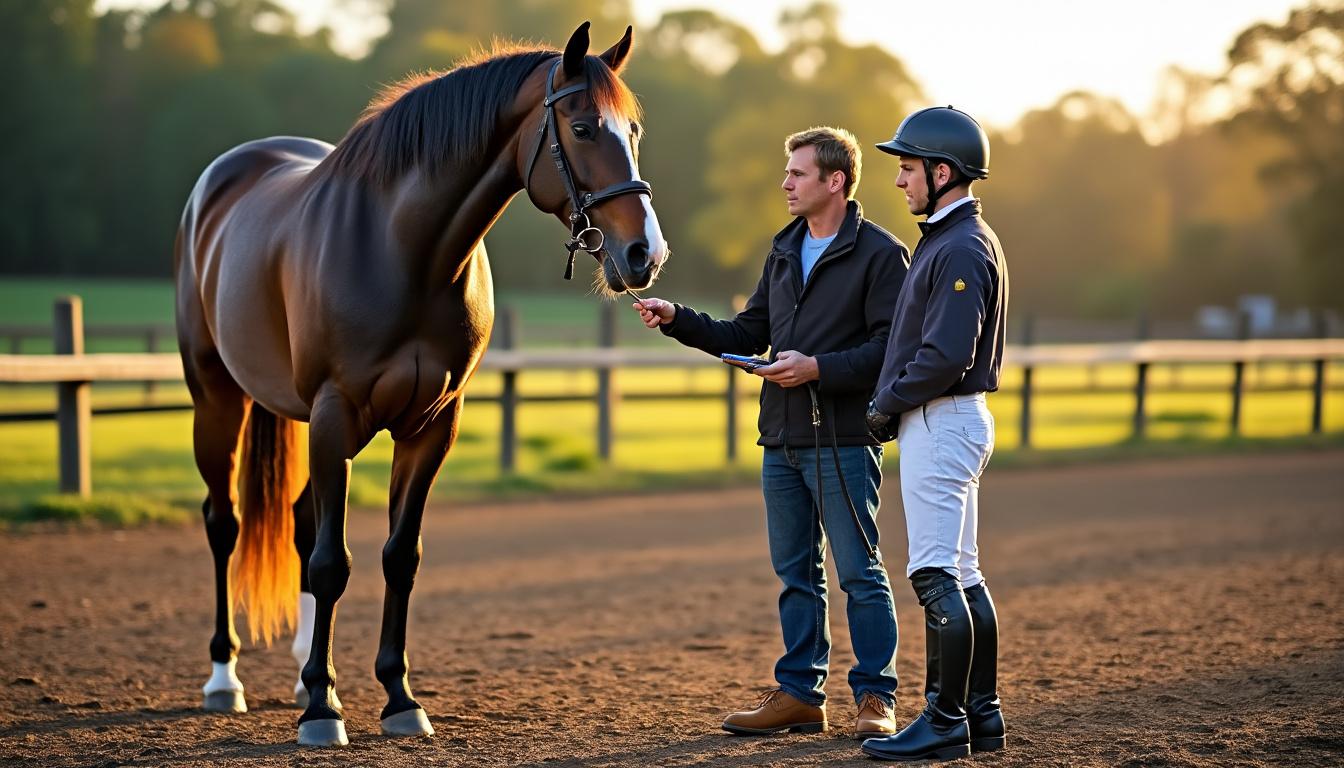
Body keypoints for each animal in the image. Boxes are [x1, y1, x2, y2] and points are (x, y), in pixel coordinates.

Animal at [174, 22, 666, 747]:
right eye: (580, 127)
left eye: (632, 130)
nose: (644, 255)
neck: (404, 250)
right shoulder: (335, 414)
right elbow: (333, 563)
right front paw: (323, 713)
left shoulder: (432, 425)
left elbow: (398, 556)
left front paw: (396, 698)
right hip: (217, 401)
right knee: (224, 524)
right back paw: (224, 679)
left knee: (298, 524)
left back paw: (302, 675)